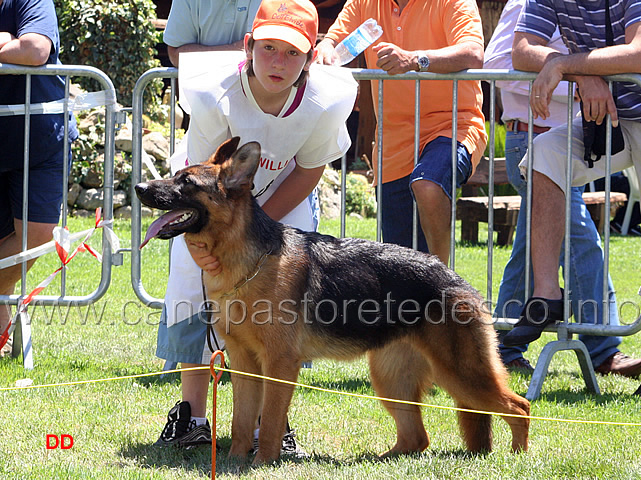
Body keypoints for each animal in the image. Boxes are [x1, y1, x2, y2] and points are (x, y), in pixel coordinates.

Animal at [135, 137, 528, 464]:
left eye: (186, 182)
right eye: (174, 175)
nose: (139, 187)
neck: (248, 262)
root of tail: (458, 281)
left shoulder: (279, 365)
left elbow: (271, 421)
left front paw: (262, 463)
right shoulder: (245, 364)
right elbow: (243, 422)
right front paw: (233, 461)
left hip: (462, 374)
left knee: (519, 407)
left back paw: (517, 457)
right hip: (392, 381)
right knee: (417, 438)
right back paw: (380, 460)